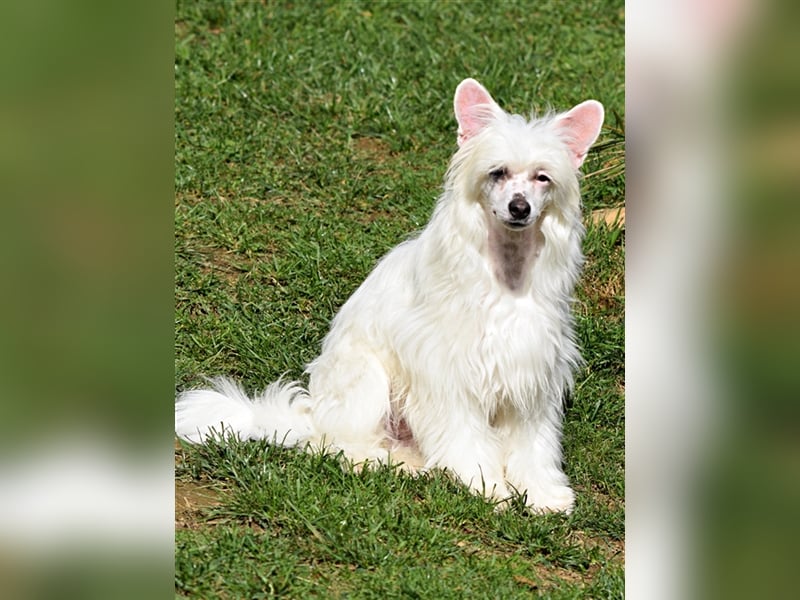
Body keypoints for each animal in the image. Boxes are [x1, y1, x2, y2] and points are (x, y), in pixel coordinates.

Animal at [175, 77, 600, 512]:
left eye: (542, 178)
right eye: (497, 172)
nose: (519, 208)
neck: (507, 272)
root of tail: (313, 415)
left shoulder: (531, 374)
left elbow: (533, 445)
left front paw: (541, 493)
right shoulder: (449, 375)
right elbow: (466, 438)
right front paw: (487, 486)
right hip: (367, 379)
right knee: (335, 444)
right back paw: (376, 461)